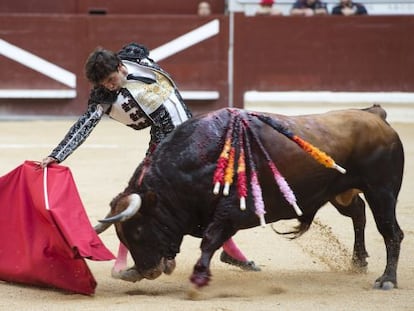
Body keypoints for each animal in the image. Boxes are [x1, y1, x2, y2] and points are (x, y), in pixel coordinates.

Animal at [98, 106, 404, 292]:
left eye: (138, 230)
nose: (146, 271)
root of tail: (376, 116)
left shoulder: (230, 212)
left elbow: (210, 240)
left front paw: (199, 276)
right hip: (341, 192)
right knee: (359, 213)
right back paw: (358, 261)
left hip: (382, 191)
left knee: (391, 232)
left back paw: (387, 280)